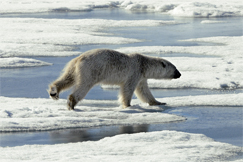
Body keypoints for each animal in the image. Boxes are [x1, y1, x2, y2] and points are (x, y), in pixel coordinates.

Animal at [48, 48, 180, 110]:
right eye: (175, 68)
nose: (179, 74)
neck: (143, 64)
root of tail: (78, 59)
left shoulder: (141, 77)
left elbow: (144, 91)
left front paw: (159, 102)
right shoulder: (134, 72)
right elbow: (128, 90)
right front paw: (128, 105)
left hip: (74, 68)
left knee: (67, 78)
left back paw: (54, 91)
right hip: (91, 70)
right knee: (83, 85)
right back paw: (71, 103)